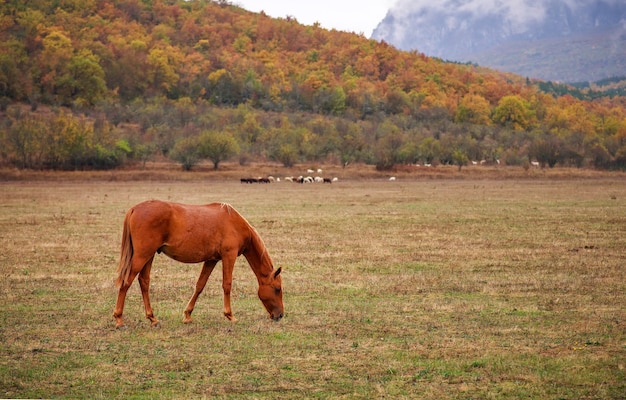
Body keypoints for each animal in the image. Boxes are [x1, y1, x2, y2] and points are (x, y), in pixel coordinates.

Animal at [112, 200, 282, 328]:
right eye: (277, 289)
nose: (280, 315)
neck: (234, 222)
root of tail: (134, 209)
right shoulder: (229, 256)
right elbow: (227, 285)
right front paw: (230, 315)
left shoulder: (212, 260)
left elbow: (200, 285)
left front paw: (187, 315)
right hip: (142, 255)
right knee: (126, 281)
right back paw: (119, 319)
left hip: (149, 255)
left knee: (144, 282)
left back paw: (152, 318)